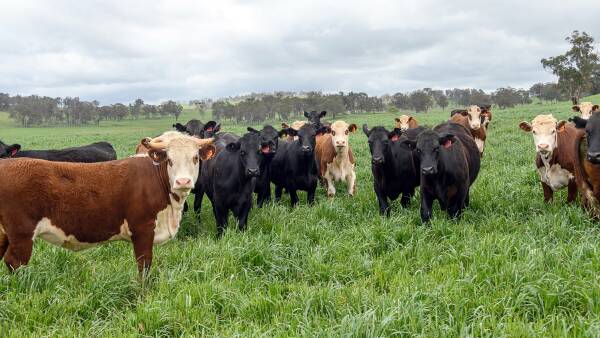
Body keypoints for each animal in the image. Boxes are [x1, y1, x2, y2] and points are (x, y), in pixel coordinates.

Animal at [0, 133, 216, 274]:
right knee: (14, 262)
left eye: (195, 158)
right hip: (21, 234)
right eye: (169, 160)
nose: (183, 181)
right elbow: (144, 266)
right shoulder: (143, 229)